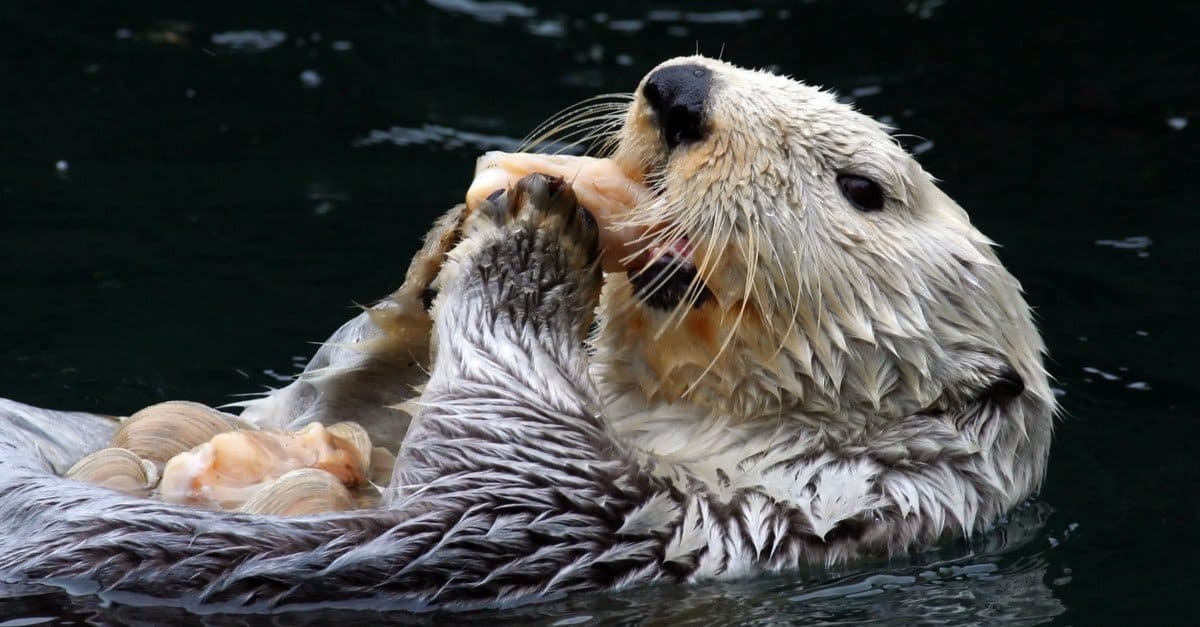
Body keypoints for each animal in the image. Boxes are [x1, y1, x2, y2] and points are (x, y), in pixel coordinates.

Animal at [0, 56, 1051, 607]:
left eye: (864, 187)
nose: (680, 89)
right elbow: (324, 396)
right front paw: (443, 247)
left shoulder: (599, 512)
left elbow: (496, 438)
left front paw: (531, 235)